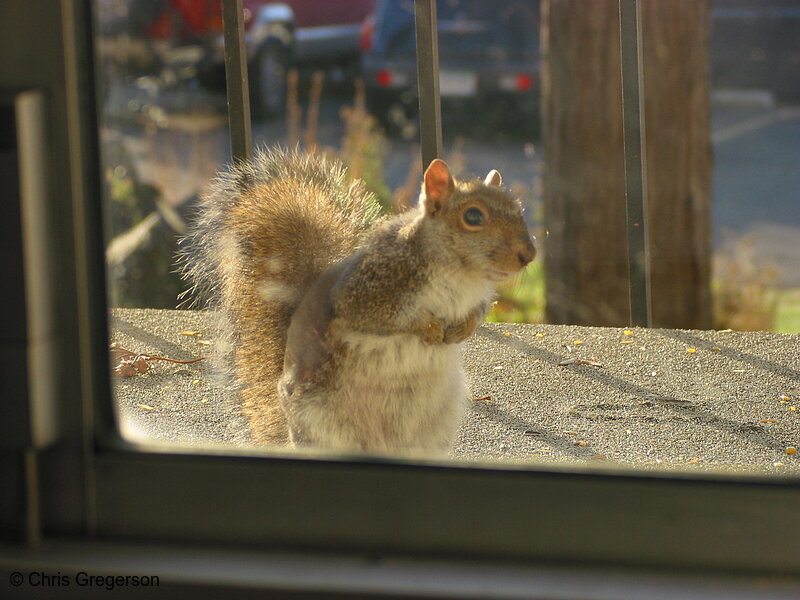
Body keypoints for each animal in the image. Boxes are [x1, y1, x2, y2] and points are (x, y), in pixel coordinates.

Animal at [178, 148, 536, 452]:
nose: (528, 255)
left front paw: (462, 329)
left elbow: (476, 314)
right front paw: (428, 328)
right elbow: (380, 318)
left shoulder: (478, 297)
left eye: (518, 210)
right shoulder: (367, 289)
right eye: (473, 217)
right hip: (319, 422)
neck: (463, 274)